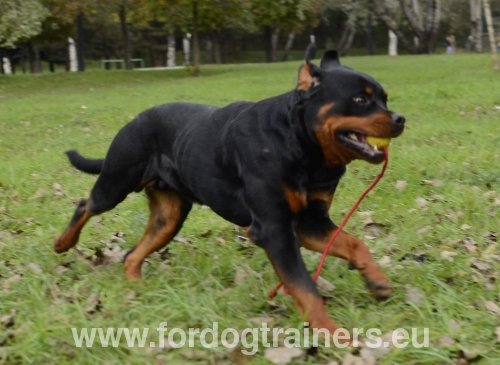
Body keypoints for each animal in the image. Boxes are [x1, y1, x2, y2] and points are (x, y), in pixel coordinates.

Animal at [55, 50, 406, 332]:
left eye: (386, 99)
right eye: (360, 100)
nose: (400, 118)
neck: (303, 147)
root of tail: (134, 119)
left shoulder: (309, 222)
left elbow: (355, 243)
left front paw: (377, 281)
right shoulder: (274, 228)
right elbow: (305, 288)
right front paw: (333, 333)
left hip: (169, 216)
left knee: (131, 254)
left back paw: (137, 288)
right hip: (116, 182)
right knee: (85, 204)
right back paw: (63, 242)